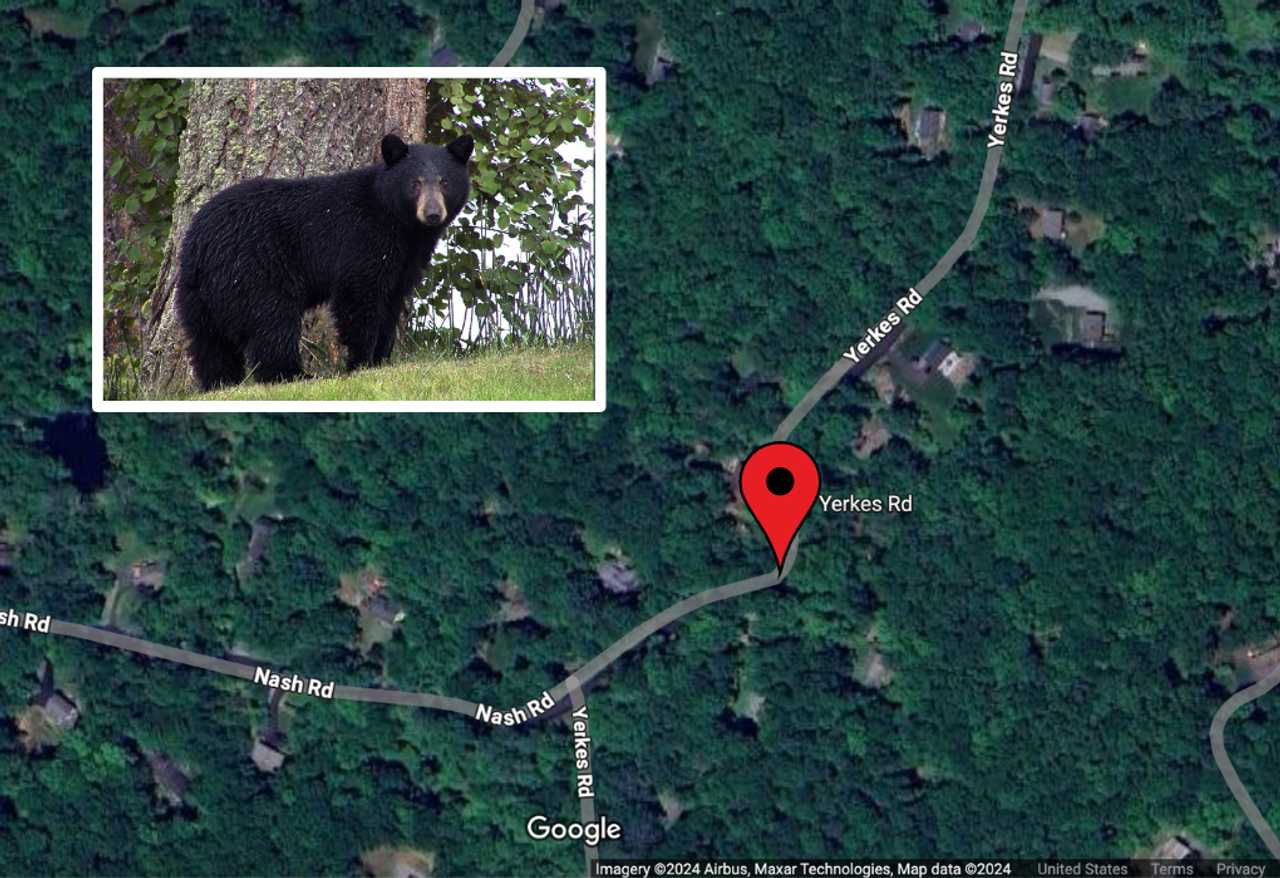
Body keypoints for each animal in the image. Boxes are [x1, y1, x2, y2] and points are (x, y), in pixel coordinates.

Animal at [175, 133, 474, 390]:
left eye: (445, 182)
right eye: (415, 183)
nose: (432, 214)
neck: (400, 224)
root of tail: (200, 243)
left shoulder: (406, 261)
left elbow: (391, 303)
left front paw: (382, 359)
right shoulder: (363, 239)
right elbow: (359, 297)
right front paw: (360, 363)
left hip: (198, 293)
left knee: (209, 342)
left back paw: (221, 382)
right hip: (254, 270)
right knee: (271, 323)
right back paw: (293, 375)